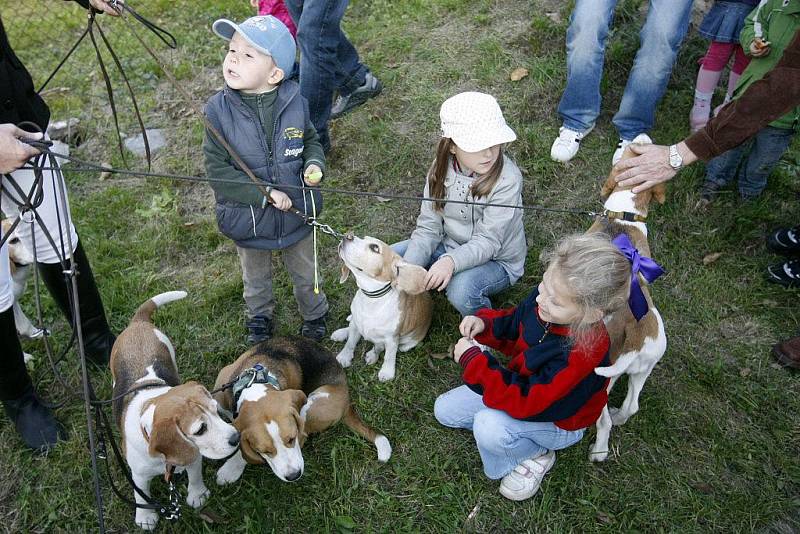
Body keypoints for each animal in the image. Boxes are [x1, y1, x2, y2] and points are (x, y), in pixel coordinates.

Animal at [111, 294, 239, 532]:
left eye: (216, 411)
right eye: (200, 429)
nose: (237, 438)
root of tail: (138, 322)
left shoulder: (194, 454)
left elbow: (195, 476)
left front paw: (197, 495)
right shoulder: (139, 475)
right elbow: (141, 496)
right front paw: (145, 517)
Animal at [211, 338, 390, 488]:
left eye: (291, 438)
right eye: (265, 450)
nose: (294, 475)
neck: (254, 383)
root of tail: (346, 400)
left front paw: (231, 468)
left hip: (311, 406)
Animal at [330, 237, 432, 384]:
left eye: (375, 248)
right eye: (363, 238)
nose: (347, 236)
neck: (371, 298)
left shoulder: (392, 338)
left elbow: (389, 355)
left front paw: (387, 372)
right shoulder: (356, 325)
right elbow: (350, 343)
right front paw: (345, 356)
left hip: (408, 343)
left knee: (397, 347)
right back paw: (341, 333)